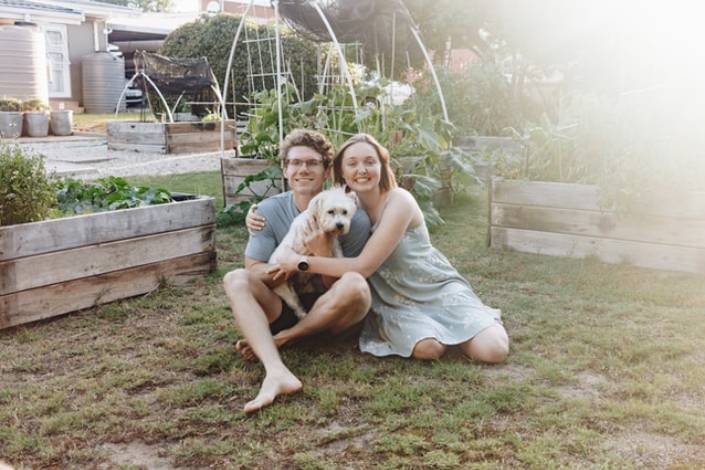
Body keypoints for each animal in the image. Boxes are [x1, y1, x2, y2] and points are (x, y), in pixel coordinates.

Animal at [270, 185, 358, 318]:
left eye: (345, 212)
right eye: (330, 211)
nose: (340, 225)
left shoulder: (333, 244)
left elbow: (338, 256)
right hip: (286, 290)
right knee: (296, 305)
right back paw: (303, 315)